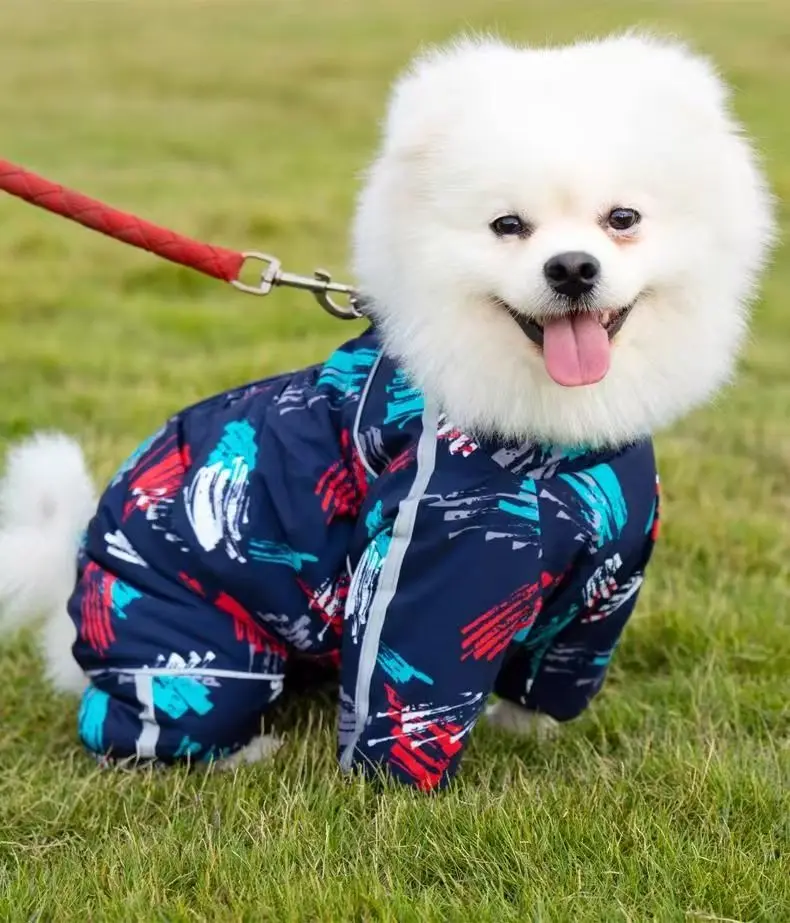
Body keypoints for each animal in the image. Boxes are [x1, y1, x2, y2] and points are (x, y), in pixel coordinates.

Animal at [0, 33, 774, 789]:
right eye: (508, 225)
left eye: (622, 219)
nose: (573, 267)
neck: (555, 456)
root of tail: (76, 567)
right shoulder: (432, 558)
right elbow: (406, 688)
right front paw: (398, 791)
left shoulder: (605, 578)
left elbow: (553, 671)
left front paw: (531, 729)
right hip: (188, 638)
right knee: (148, 720)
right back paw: (242, 749)